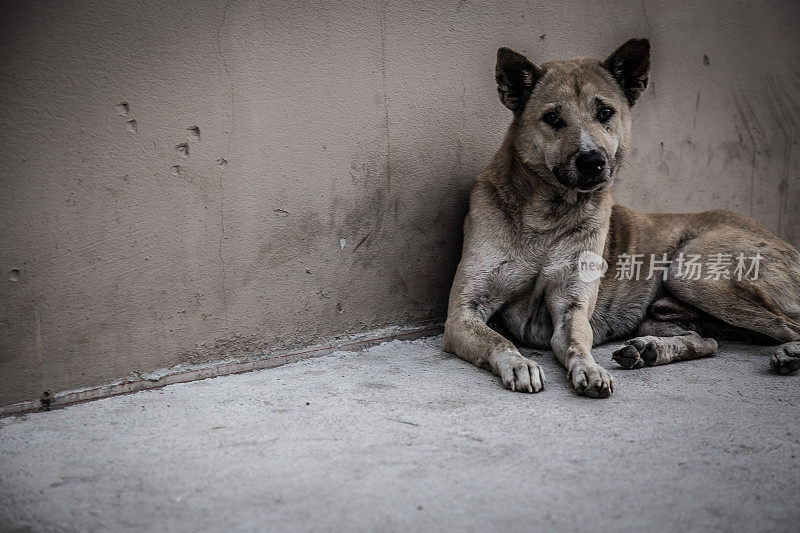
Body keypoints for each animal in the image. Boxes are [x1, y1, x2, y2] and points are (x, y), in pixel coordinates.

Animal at [444, 38, 800, 394]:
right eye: (553, 117)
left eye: (605, 112)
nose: (592, 161)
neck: (548, 216)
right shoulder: (463, 313)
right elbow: (498, 340)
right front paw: (520, 364)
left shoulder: (572, 309)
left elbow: (576, 342)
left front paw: (589, 368)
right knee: (708, 340)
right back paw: (650, 350)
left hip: (691, 271)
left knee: (788, 326)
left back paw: (788, 354)